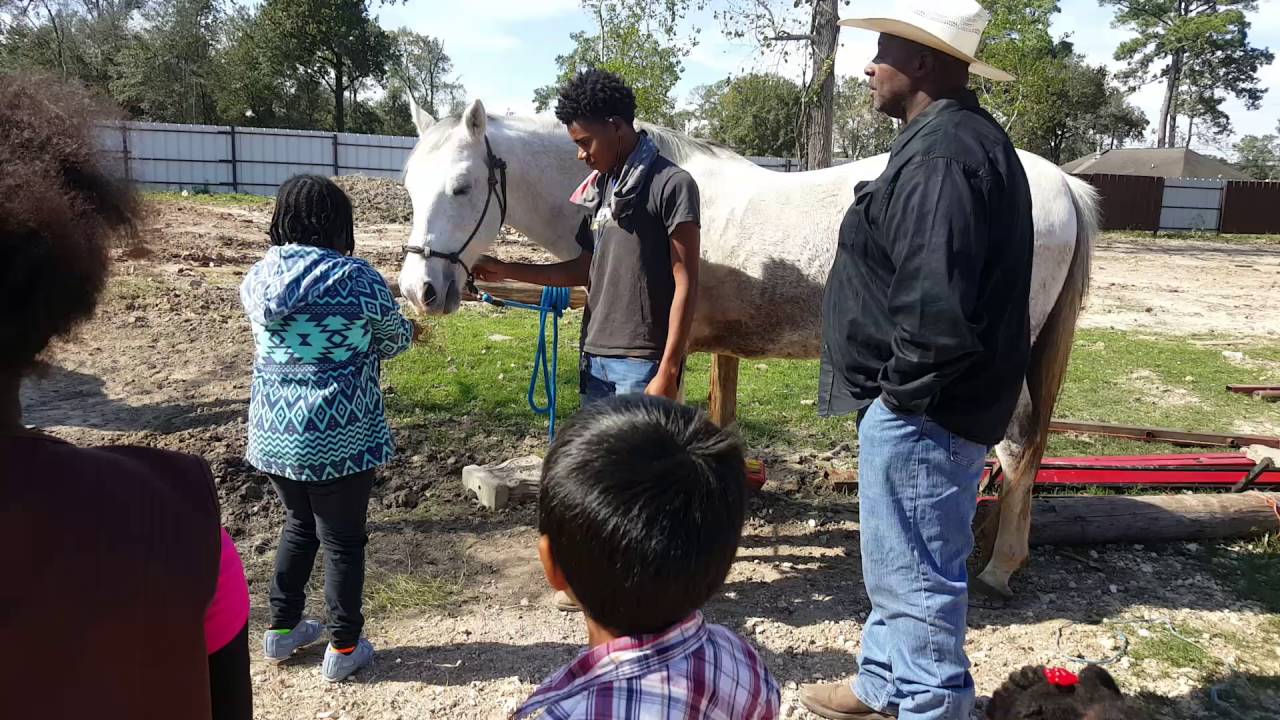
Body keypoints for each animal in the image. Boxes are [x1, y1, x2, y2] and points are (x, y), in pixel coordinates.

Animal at [398, 98, 1099, 599]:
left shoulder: (670, 355)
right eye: (408, 185)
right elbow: (719, 428)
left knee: (1014, 448)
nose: (421, 288)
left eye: (462, 186)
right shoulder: (718, 351)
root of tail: (1061, 184)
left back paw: (997, 568)